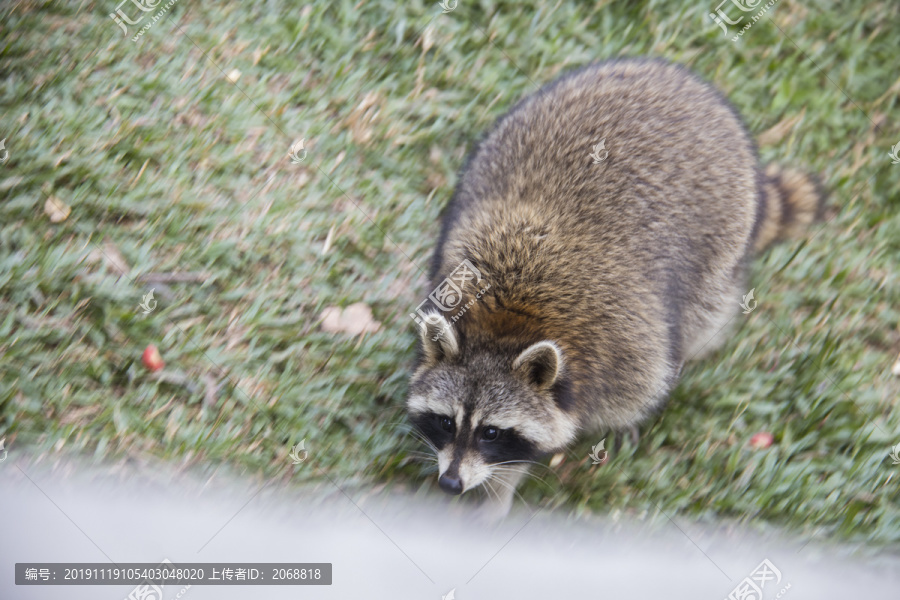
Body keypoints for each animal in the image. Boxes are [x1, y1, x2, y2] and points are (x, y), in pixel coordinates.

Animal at [406, 57, 824, 516]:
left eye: (492, 433)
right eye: (446, 422)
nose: (450, 483)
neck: (506, 326)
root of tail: (680, 78)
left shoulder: (628, 351)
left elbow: (641, 386)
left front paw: (501, 488)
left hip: (725, 240)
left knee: (702, 322)